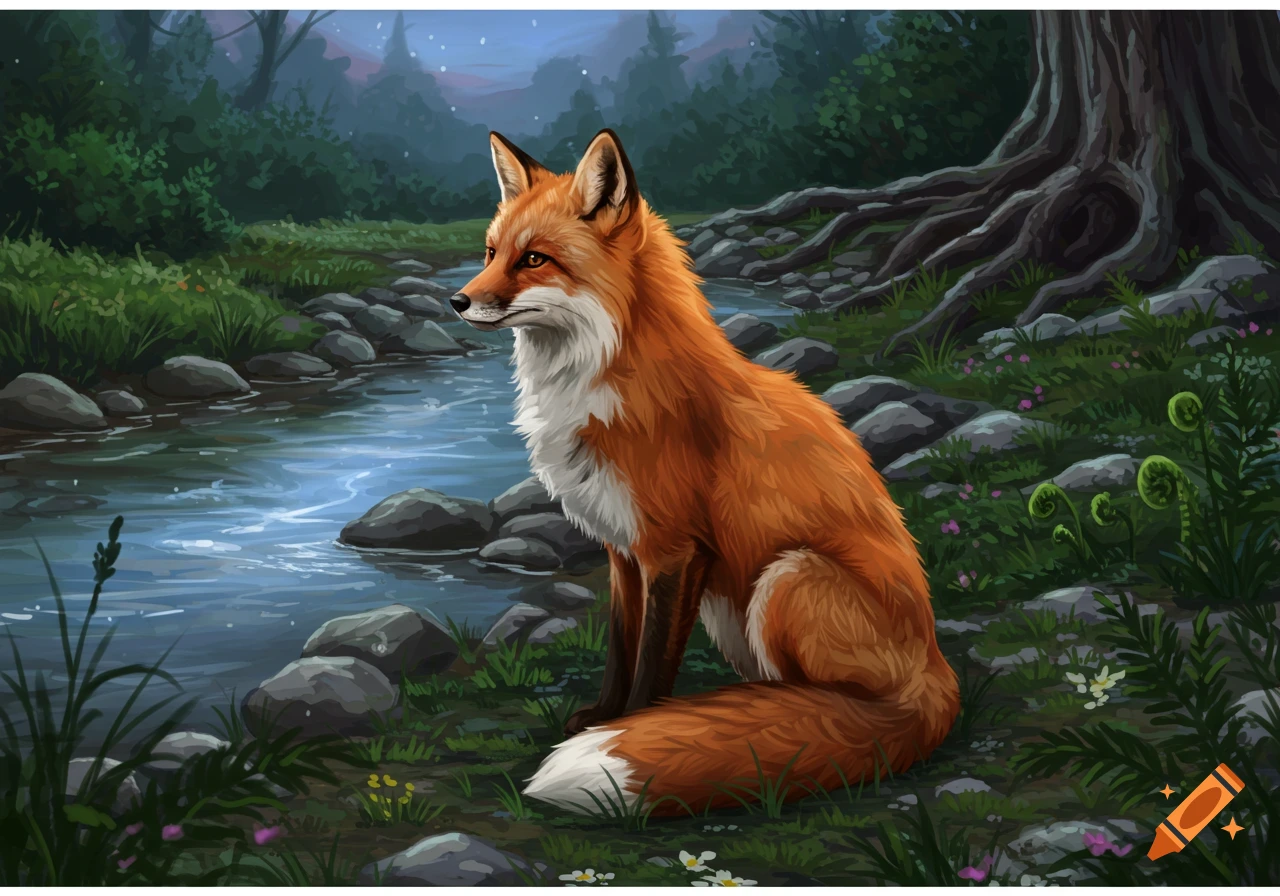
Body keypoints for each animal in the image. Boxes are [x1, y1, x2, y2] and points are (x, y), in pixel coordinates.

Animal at [450, 128, 960, 815]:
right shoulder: (623, 549)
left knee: (830, 710)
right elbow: (621, 646)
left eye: (534, 259)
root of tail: (935, 674)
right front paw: (603, 717)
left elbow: (651, 665)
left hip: (787, 577)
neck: (603, 377)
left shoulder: (675, 549)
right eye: (490, 251)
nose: (457, 301)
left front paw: (636, 725)